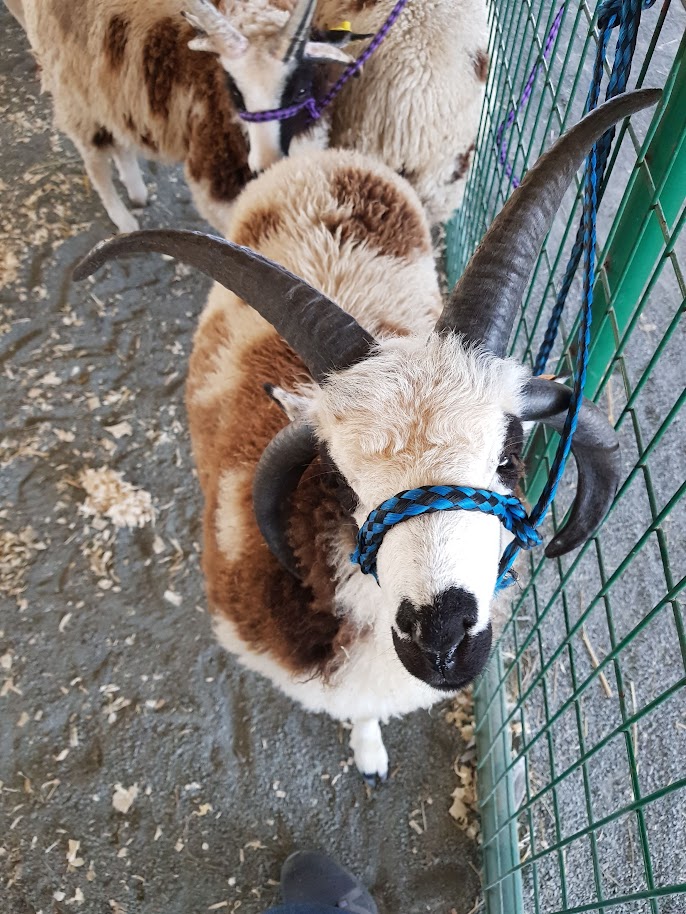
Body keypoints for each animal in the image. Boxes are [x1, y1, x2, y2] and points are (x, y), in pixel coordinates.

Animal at [13, 0, 352, 232]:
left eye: (300, 90)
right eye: (234, 91)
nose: (265, 164)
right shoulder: (214, 177)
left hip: (112, 93)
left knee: (120, 142)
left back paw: (136, 192)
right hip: (75, 96)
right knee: (95, 161)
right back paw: (123, 218)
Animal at [75, 90, 658, 780]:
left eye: (509, 459)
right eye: (342, 483)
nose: (442, 638)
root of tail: (324, 160)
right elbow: (359, 711)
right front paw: (369, 753)